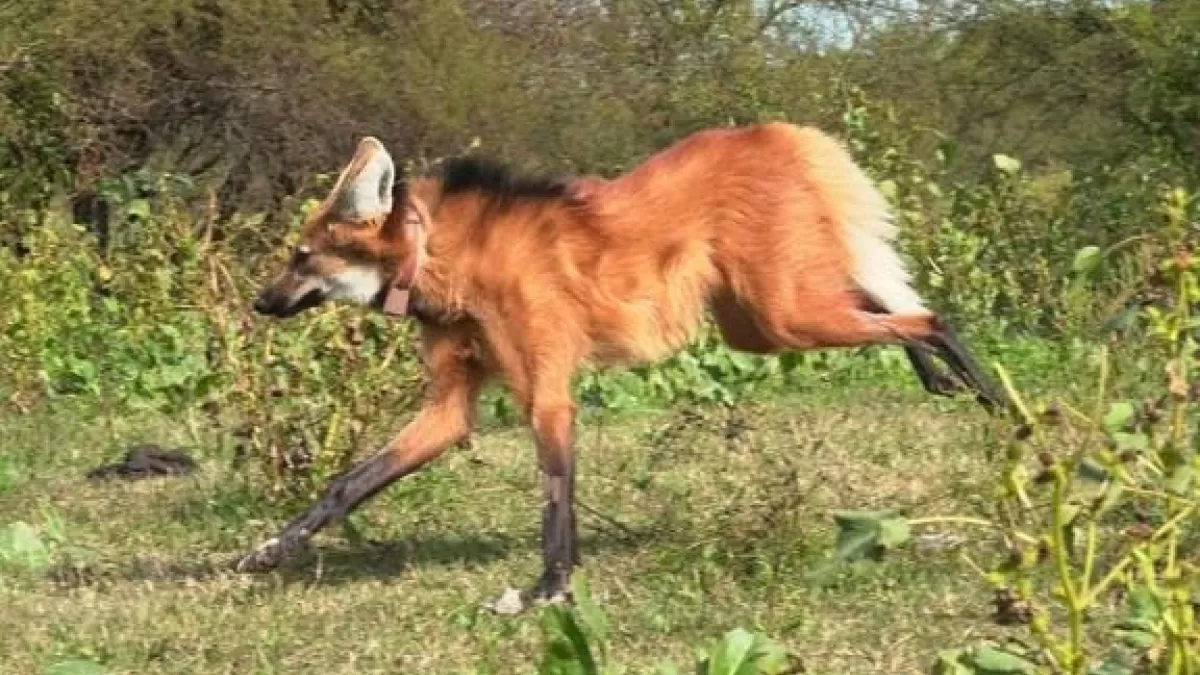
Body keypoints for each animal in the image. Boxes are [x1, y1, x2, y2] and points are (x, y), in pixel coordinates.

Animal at [238, 122, 1005, 609]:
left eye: (300, 257)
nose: (259, 302)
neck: (444, 265)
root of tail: (781, 133)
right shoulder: (450, 408)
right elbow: (347, 483)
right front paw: (269, 550)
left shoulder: (547, 392)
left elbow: (554, 494)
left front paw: (549, 589)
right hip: (761, 324)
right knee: (883, 299)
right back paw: (941, 378)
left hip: (782, 313)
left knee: (929, 316)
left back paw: (993, 400)